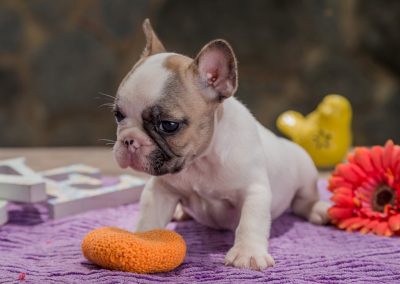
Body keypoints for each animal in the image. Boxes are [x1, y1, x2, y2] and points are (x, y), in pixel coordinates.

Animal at [111, 18, 328, 270]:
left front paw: (247, 253)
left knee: (304, 201)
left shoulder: (254, 191)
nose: (129, 140)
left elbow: (250, 222)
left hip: (306, 174)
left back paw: (319, 210)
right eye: (118, 115)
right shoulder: (161, 190)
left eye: (168, 125)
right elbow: (150, 217)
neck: (201, 161)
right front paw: (143, 241)